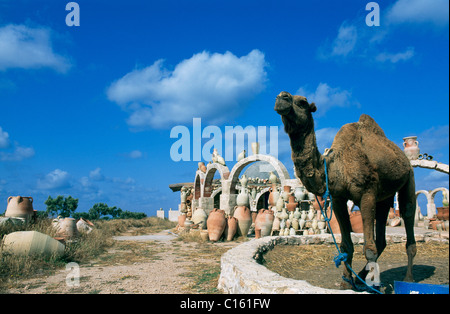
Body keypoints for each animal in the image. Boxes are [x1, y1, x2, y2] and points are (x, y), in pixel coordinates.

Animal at [274, 91, 418, 290]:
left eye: (302, 102)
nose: (282, 97)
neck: (336, 167)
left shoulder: (367, 194)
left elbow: (369, 249)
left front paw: (368, 285)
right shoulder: (338, 199)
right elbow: (346, 246)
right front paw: (346, 283)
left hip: (409, 177)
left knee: (408, 212)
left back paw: (407, 278)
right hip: (383, 198)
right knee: (382, 237)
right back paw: (362, 278)